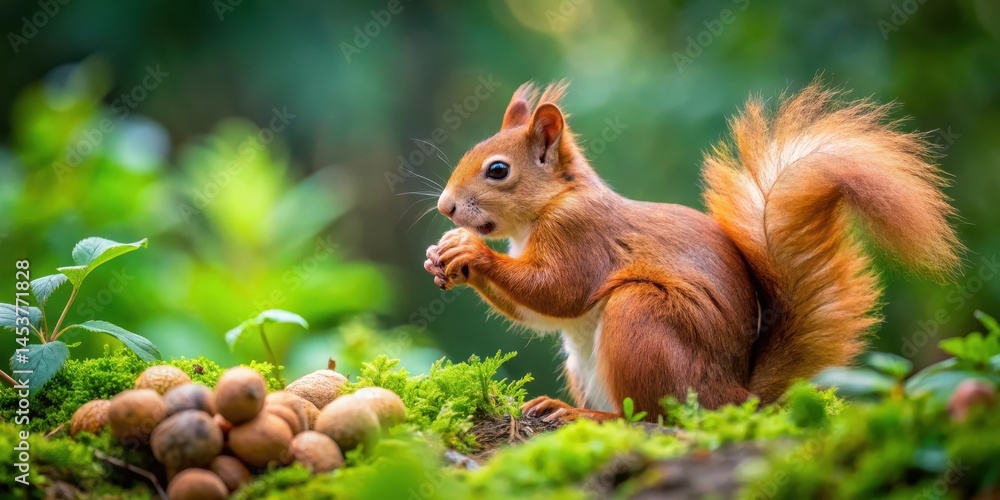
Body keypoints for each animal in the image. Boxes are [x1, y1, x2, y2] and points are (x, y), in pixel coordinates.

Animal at [423, 80, 961, 422]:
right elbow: (539, 312)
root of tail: (736, 395)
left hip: (644, 319)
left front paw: (472, 251)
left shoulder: (580, 235)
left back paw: (579, 414)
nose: (445, 207)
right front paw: (442, 257)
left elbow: (559, 292)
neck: (553, 202)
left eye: (498, 170)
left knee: (648, 417)